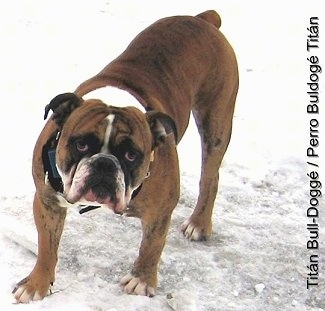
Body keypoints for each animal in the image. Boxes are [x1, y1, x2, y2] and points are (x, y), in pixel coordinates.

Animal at [13, 9, 238, 302]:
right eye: (81, 145)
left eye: (131, 155)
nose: (104, 164)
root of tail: (203, 18)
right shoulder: (47, 201)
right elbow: (46, 246)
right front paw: (36, 283)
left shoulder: (160, 210)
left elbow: (152, 246)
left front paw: (142, 280)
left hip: (216, 125)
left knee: (210, 178)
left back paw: (198, 223)